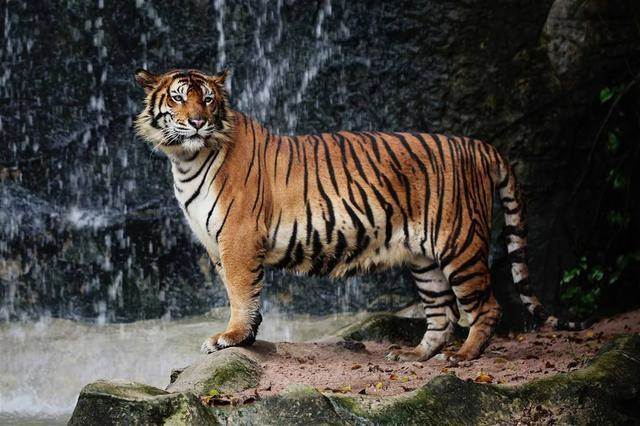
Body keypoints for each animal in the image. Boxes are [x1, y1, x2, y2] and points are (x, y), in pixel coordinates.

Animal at [134, 67, 553, 362]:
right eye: (177, 99)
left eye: (207, 99)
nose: (197, 122)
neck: (185, 159)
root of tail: (478, 145)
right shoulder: (216, 244)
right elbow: (244, 293)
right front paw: (247, 337)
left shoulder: (238, 236)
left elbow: (240, 292)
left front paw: (230, 338)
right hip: (425, 259)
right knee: (442, 314)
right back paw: (414, 354)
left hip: (459, 243)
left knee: (486, 307)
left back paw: (464, 356)